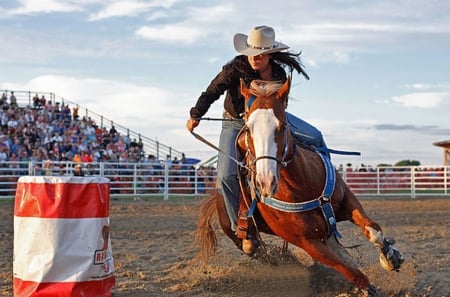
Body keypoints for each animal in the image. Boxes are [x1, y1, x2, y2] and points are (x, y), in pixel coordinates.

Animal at [197, 76, 404, 294]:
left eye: (283, 126)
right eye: (248, 129)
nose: (266, 181)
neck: (303, 184)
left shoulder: (347, 201)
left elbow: (373, 231)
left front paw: (391, 257)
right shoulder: (307, 242)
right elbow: (350, 271)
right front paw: (367, 288)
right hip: (239, 235)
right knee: (257, 251)